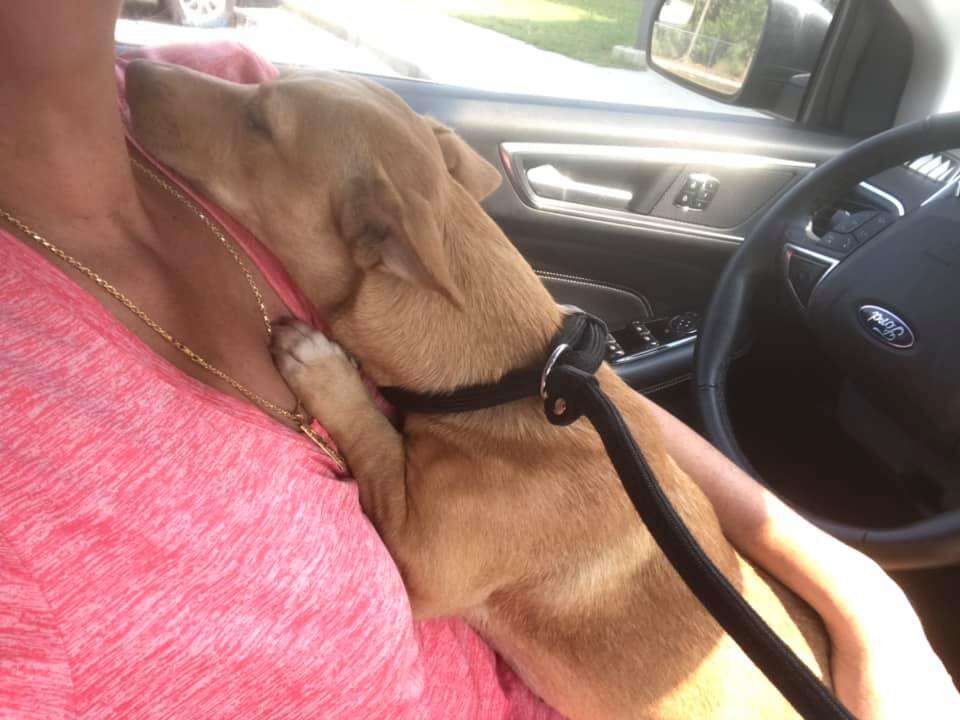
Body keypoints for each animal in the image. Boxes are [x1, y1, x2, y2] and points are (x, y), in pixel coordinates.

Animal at [125, 62, 832, 720]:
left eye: (260, 125)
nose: (133, 68)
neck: (512, 380)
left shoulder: (417, 561)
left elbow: (375, 436)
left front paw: (324, 369)